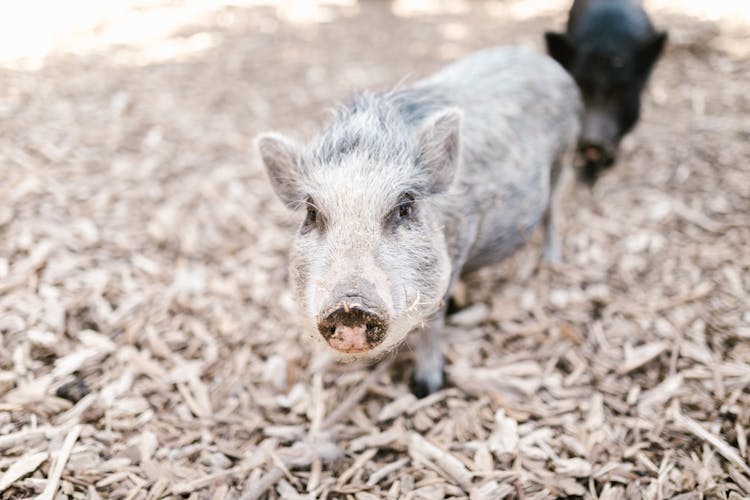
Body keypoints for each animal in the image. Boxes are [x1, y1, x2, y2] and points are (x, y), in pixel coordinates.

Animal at [258, 47, 580, 398]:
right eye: (311, 213)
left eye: (405, 207)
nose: (350, 305)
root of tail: (541, 58)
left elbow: (433, 325)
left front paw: (425, 388)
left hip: (564, 156)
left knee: (552, 212)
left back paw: (552, 261)